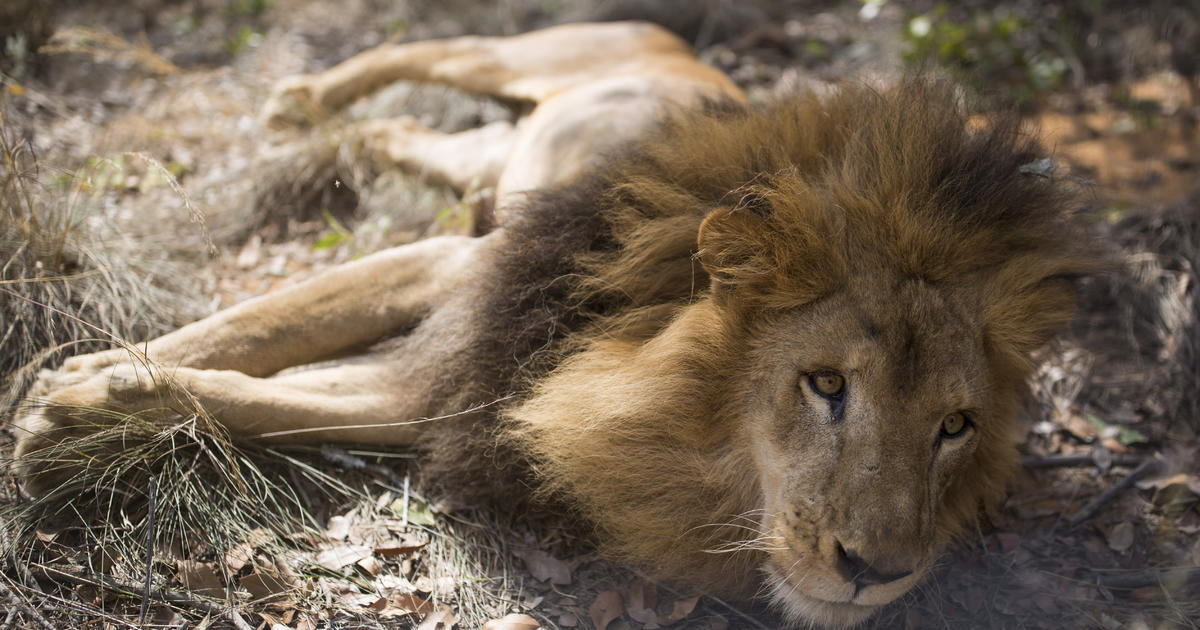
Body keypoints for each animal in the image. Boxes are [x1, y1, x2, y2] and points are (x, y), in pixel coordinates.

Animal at [9, 20, 1099, 628]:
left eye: (954, 428)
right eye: (826, 384)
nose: (878, 574)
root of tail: (679, 44)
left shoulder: (465, 381)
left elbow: (274, 396)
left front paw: (84, 404)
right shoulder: (465, 277)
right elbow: (253, 328)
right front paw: (64, 392)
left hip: (492, 158)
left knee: (401, 133)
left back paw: (323, 120)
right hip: (519, 54)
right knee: (419, 50)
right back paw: (303, 92)